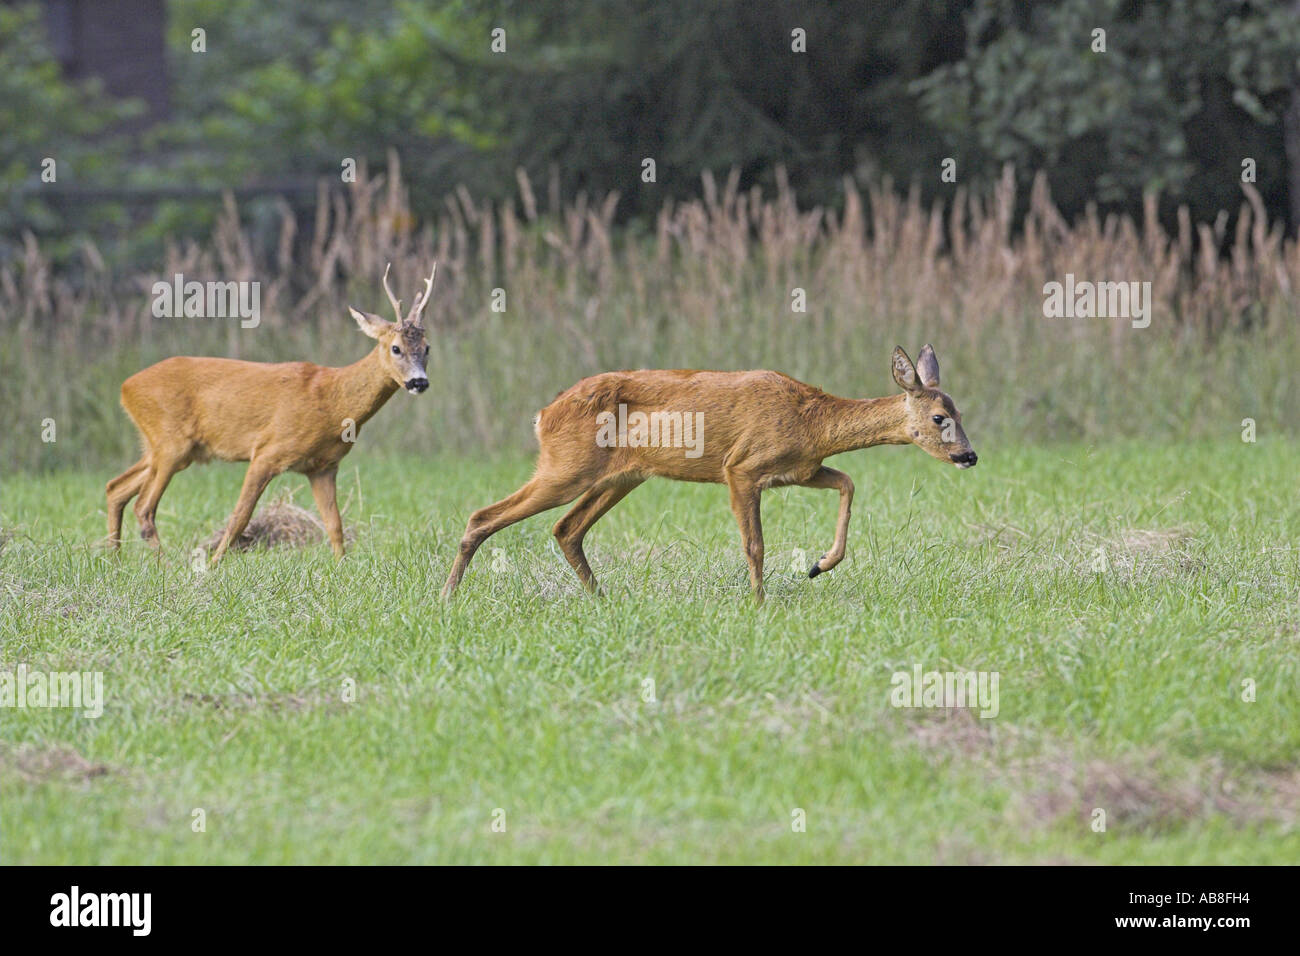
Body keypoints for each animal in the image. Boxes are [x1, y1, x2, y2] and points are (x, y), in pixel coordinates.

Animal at [105, 264, 436, 561]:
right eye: (395, 348)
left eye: (427, 347)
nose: (419, 382)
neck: (333, 401)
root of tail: (125, 387)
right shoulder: (267, 451)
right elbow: (240, 516)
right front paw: (213, 566)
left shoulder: (323, 467)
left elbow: (334, 526)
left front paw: (342, 568)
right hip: (172, 443)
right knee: (143, 507)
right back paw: (165, 564)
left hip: (165, 447)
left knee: (115, 488)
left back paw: (115, 559)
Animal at [444, 343, 977, 598]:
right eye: (939, 418)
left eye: (961, 411)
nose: (969, 456)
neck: (813, 421)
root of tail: (543, 415)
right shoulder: (741, 467)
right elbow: (755, 544)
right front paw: (760, 603)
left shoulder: (800, 469)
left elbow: (848, 482)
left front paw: (819, 565)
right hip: (565, 465)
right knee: (483, 516)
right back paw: (448, 598)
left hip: (622, 476)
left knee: (566, 528)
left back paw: (604, 599)